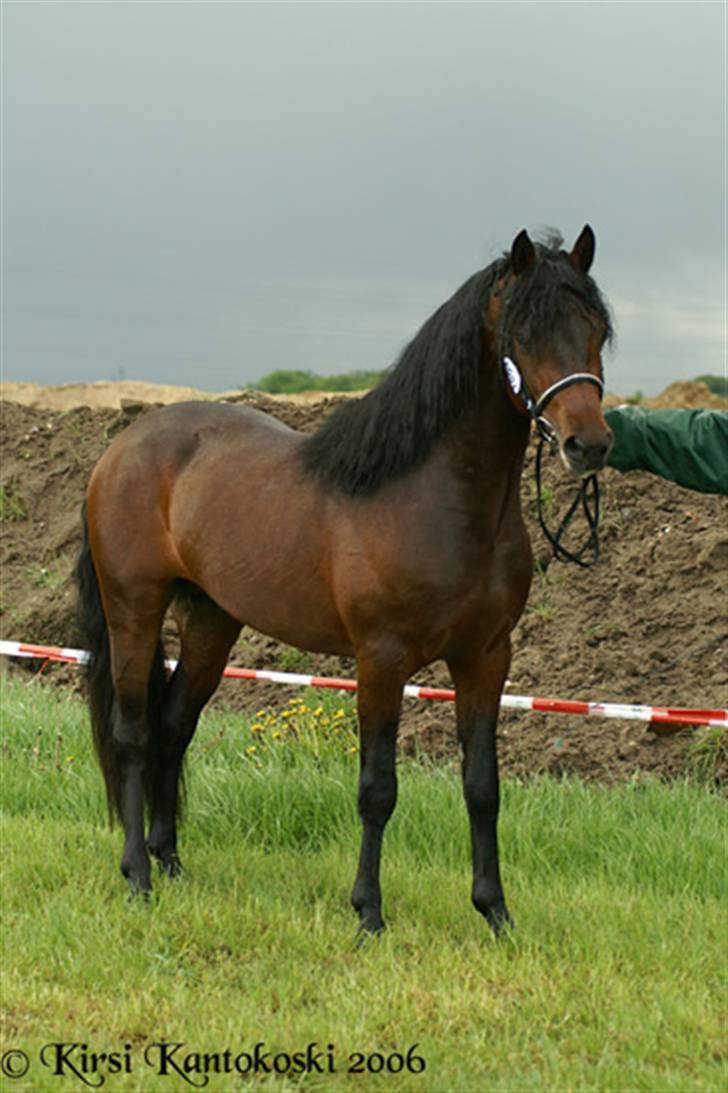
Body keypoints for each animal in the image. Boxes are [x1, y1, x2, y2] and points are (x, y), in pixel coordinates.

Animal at [74, 226, 612, 935]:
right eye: (523, 333)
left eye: (597, 329)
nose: (589, 444)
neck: (435, 499)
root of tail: (122, 445)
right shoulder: (381, 659)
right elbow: (377, 789)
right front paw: (369, 913)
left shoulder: (486, 658)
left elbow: (482, 786)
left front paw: (495, 913)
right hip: (133, 611)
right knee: (134, 735)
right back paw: (137, 875)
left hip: (213, 622)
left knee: (173, 727)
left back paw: (171, 863)